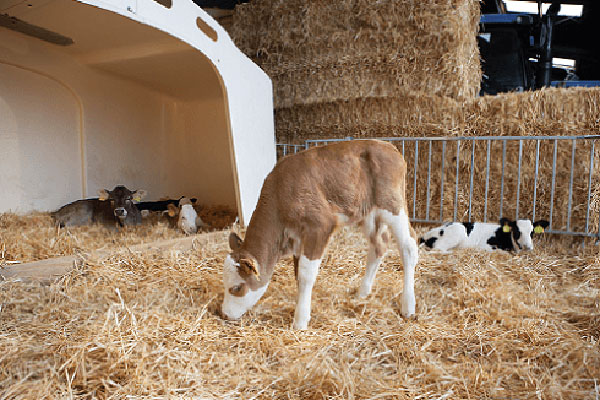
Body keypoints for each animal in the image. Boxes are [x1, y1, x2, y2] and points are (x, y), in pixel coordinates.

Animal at [219, 139, 418, 330]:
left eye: (237, 287)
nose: (224, 315)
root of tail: (389, 146)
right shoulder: (297, 239)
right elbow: (298, 274)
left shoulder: (319, 225)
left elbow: (306, 274)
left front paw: (300, 321)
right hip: (368, 213)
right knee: (379, 244)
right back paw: (362, 292)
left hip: (392, 205)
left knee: (409, 246)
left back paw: (408, 305)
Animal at [420, 217, 552, 252]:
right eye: (517, 231)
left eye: (532, 232)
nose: (527, 247)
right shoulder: (486, 246)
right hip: (457, 232)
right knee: (438, 249)